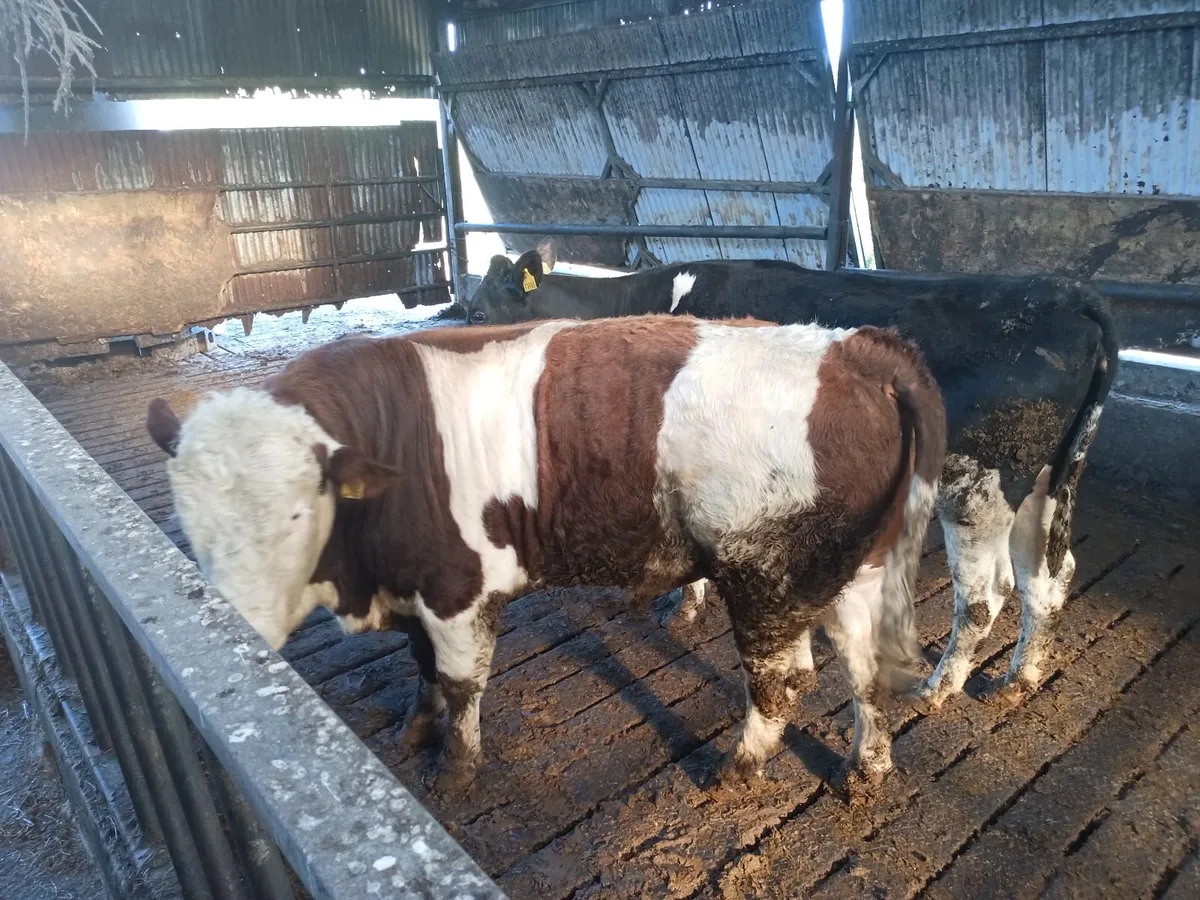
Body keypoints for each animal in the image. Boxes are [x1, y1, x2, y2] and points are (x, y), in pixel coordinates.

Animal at [146, 315, 946, 798]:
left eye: (293, 512)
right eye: (187, 514)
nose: (233, 625)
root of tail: (855, 348)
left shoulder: (458, 587)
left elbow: (461, 683)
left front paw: (455, 771)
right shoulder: (416, 588)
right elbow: (421, 666)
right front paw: (415, 727)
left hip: (765, 573)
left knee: (783, 682)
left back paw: (737, 767)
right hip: (846, 570)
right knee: (862, 667)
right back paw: (868, 768)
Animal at [466, 247, 1119, 710]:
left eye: (476, 311)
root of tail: (1067, 295)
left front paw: (683, 604)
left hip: (976, 485)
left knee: (986, 595)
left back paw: (938, 689)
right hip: (1049, 480)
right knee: (1049, 577)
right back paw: (1022, 676)